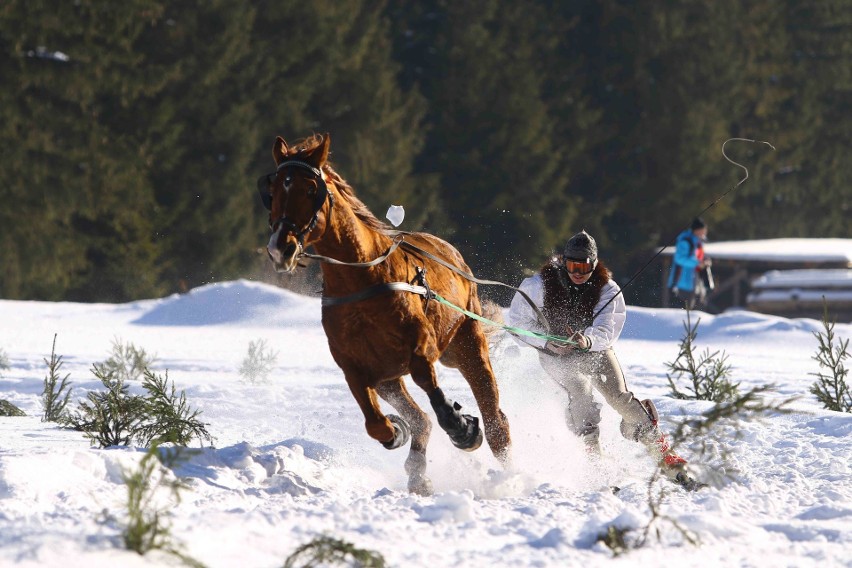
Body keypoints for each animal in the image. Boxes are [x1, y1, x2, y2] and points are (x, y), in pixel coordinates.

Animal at [260, 133, 510, 492]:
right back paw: (417, 470)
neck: (362, 279)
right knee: (421, 419)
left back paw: (508, 473)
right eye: (275, 190)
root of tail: (453, 254)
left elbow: (432, 391)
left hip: (466, 343)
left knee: (494, 420)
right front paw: (396, 430)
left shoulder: (420, 348)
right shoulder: (357, 367)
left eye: (310, 189)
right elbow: (376, 423)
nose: (281, 247)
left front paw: (462, 426)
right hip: (391, 378)